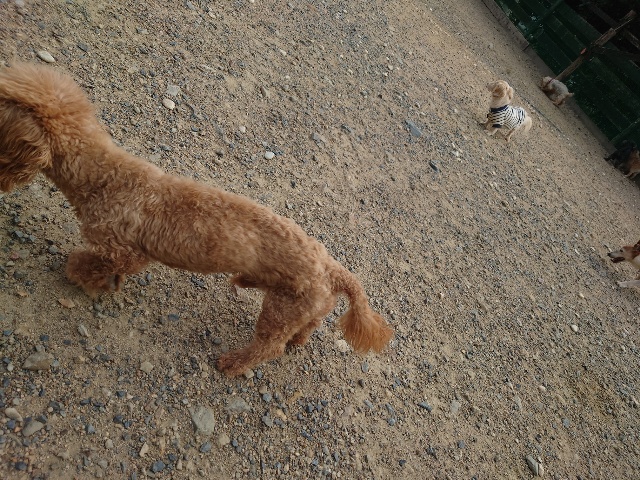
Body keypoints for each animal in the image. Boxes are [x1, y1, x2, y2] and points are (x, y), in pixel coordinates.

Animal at [0, 63, 393, 376]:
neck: (103, 177)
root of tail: (334, 269)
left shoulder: (123, 249)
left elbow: (94, 262)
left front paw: (80, 275)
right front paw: (105, 282)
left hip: (281, 309)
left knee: (269, 346)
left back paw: (233, 363)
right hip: (304, 307)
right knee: (306, 328)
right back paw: (292, 333)